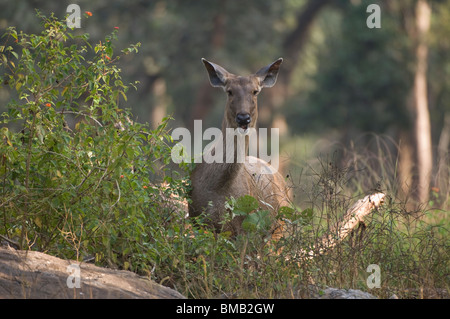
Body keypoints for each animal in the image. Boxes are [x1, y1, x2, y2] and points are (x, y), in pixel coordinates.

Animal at [187, 58, 290, 240]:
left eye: (255, 91)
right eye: (229, 91)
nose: (243, 118)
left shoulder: (245, 228)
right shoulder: (197, 220)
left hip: (279, 231)